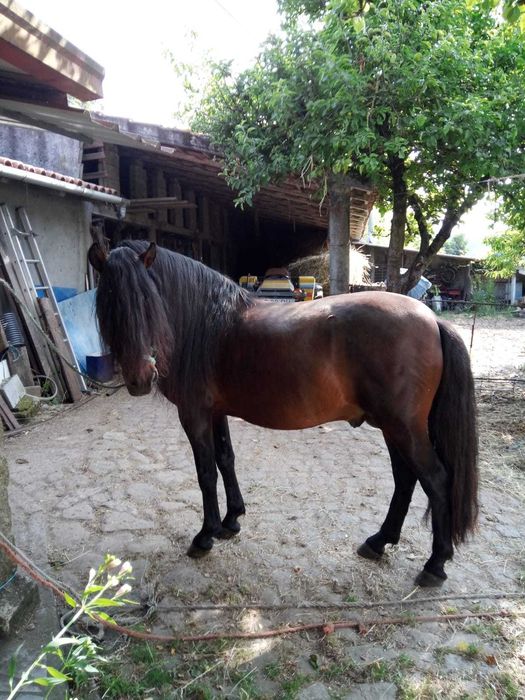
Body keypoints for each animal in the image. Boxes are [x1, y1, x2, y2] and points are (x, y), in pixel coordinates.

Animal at [88, 239, 478, 587]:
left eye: (148, 300)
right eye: (108, 301)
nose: (140, 378)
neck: (205, 324)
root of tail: (432, 320)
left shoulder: (194, 413)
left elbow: (205, 473)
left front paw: (205, 535)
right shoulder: (216, 412)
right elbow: (226, 460)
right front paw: (232, 520)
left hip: (403, 428)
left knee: (436, 481)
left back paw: (434, 565)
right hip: (393, 427)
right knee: (406, 480)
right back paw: (379, 542)